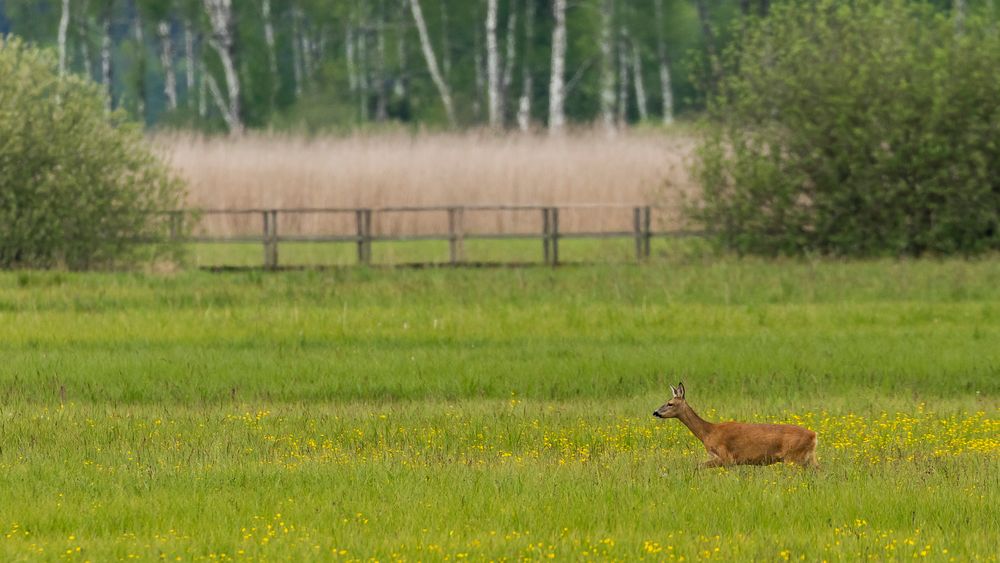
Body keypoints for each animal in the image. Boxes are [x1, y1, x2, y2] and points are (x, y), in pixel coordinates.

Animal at [652, 382, 816, 470]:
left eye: (670, 403)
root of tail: (814, 436)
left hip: (793, 458)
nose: (655, 412)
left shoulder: (726, 457)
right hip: (808, 458)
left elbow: (698, 466)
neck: (708, 432)